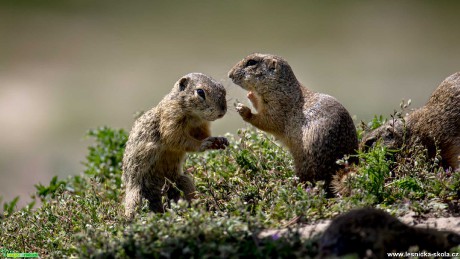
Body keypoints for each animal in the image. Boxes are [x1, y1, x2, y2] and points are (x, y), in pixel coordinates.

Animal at [122, 73, 228, 219]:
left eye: (223, 88)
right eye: (200, 92)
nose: (223, 111)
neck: (193, 115)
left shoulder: (200, 126)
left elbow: (203, 135)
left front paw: (219, 140)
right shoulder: (170, 120)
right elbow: (177, 139)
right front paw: (203, 144)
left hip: (184, 181)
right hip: (136, 195)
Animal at [228, 53, 358, 194]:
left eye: (251, 62)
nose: (230, 74)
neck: (279, 86)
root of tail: (346, 163)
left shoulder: (278, 105)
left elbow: (268, 121)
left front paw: (244, 110)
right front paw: (250, 95)